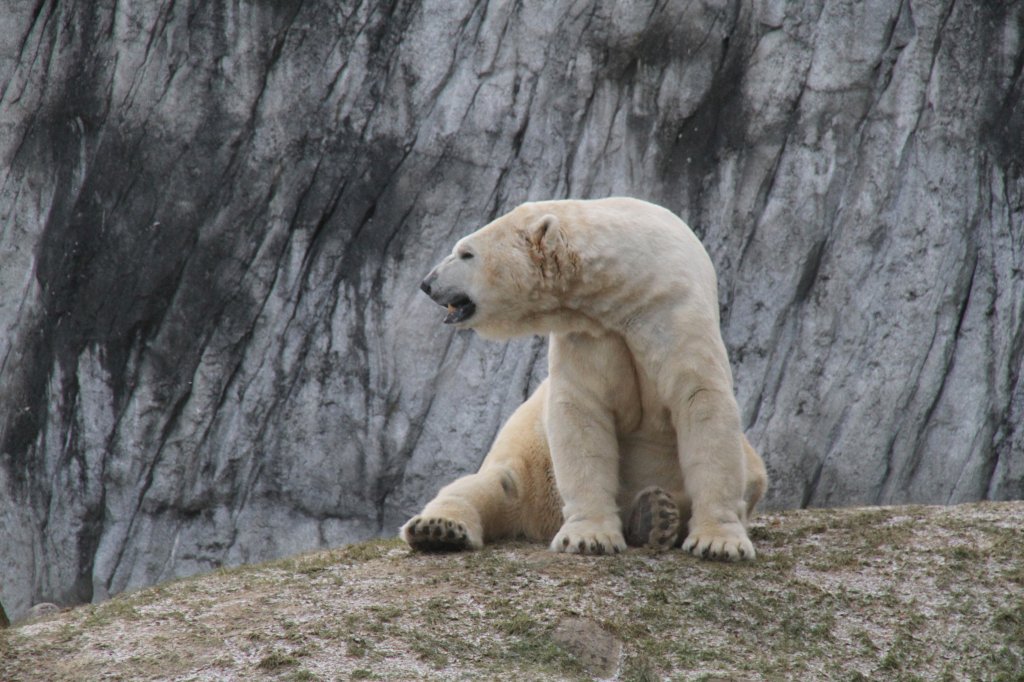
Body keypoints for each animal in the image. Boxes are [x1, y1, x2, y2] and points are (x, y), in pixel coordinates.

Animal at [403, 196, 765, 557]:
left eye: (466, 253)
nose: (427, 283)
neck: (628, 284)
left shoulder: (673, 311)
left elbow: (700, 400)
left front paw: (719, 542)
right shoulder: (589, 333)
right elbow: (582, 412)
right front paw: (588, 537)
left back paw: (656, 515)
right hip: (529, 463)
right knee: (487, 486)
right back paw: (436, 529)